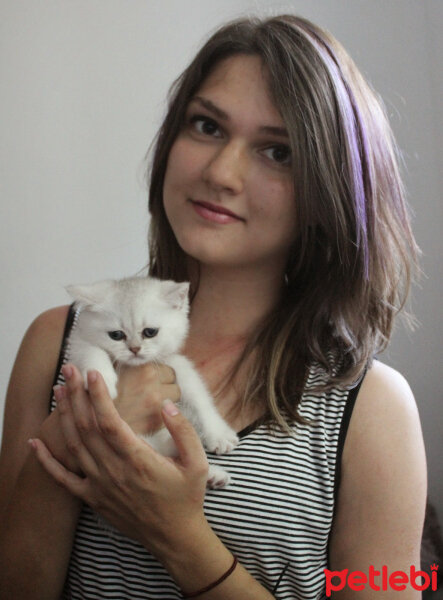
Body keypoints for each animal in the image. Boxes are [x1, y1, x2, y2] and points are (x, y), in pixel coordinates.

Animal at [66, 276, 239, 488]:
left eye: (150, 332)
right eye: (116, 335)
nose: (135, 349)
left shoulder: (174, 364)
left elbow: (199, 397)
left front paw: (218, 433)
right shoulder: (77, 344)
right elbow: (90, 350)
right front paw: (101, 378)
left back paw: (212, 475)